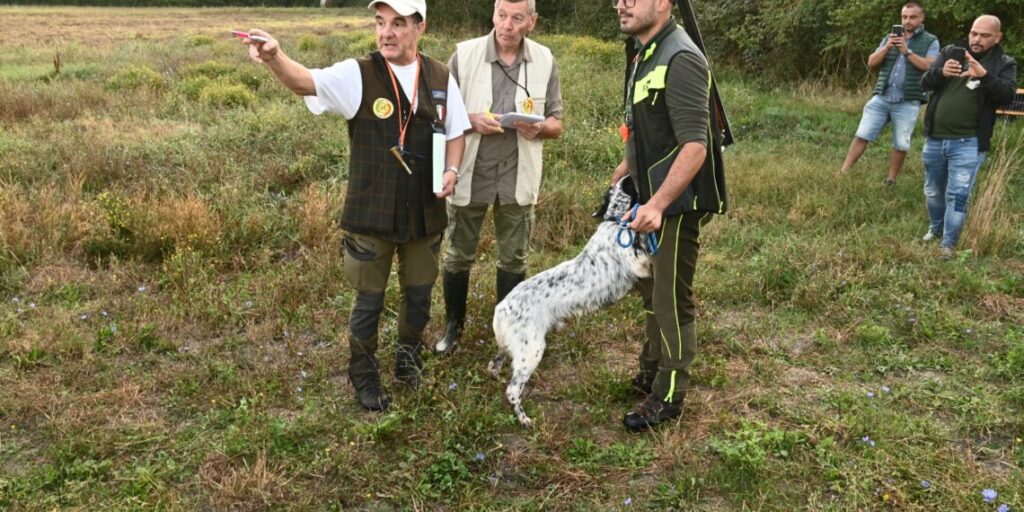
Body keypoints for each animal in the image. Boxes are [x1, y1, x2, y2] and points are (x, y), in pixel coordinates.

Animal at [489, 178, 651, 425]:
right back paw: (524, 419)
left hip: (512, 347)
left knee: (495, 364)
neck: (614, 222)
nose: (627, 176)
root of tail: (501, 308)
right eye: (630, 184)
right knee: (513, 390)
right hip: (532, 350)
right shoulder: (637, 264)